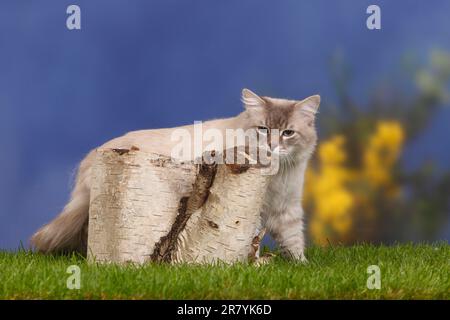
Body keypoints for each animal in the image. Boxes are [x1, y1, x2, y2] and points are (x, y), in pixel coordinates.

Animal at [30, 89, 320, 262]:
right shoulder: (254, 209)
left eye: (287, 133)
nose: (272, 146)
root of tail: (92, 157)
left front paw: (301, 265)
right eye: (263, 129)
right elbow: (251, 241)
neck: (278, 176)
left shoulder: (286, 208)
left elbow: (294, 242)